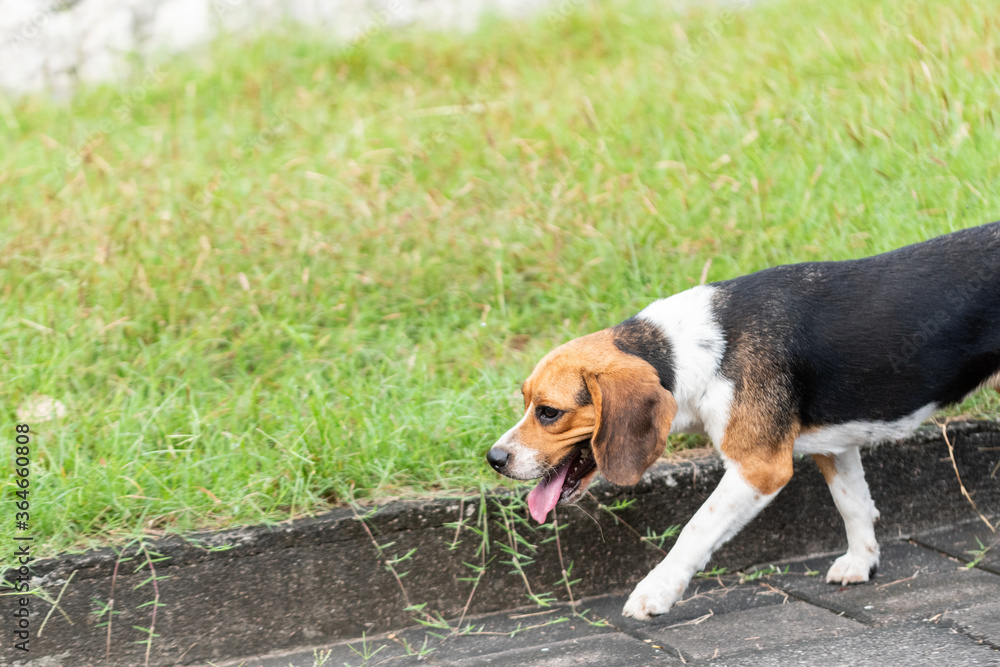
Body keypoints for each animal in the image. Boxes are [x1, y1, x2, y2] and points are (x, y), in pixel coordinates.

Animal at [487, 221, 1000, 620]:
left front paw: (655, 592)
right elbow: (853, 504)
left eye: (549, 412)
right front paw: (862, 562)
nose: (494, 458)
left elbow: (694, 531)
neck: (687, 352)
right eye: (525, 400)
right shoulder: (834, 446)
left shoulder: (759, 468)